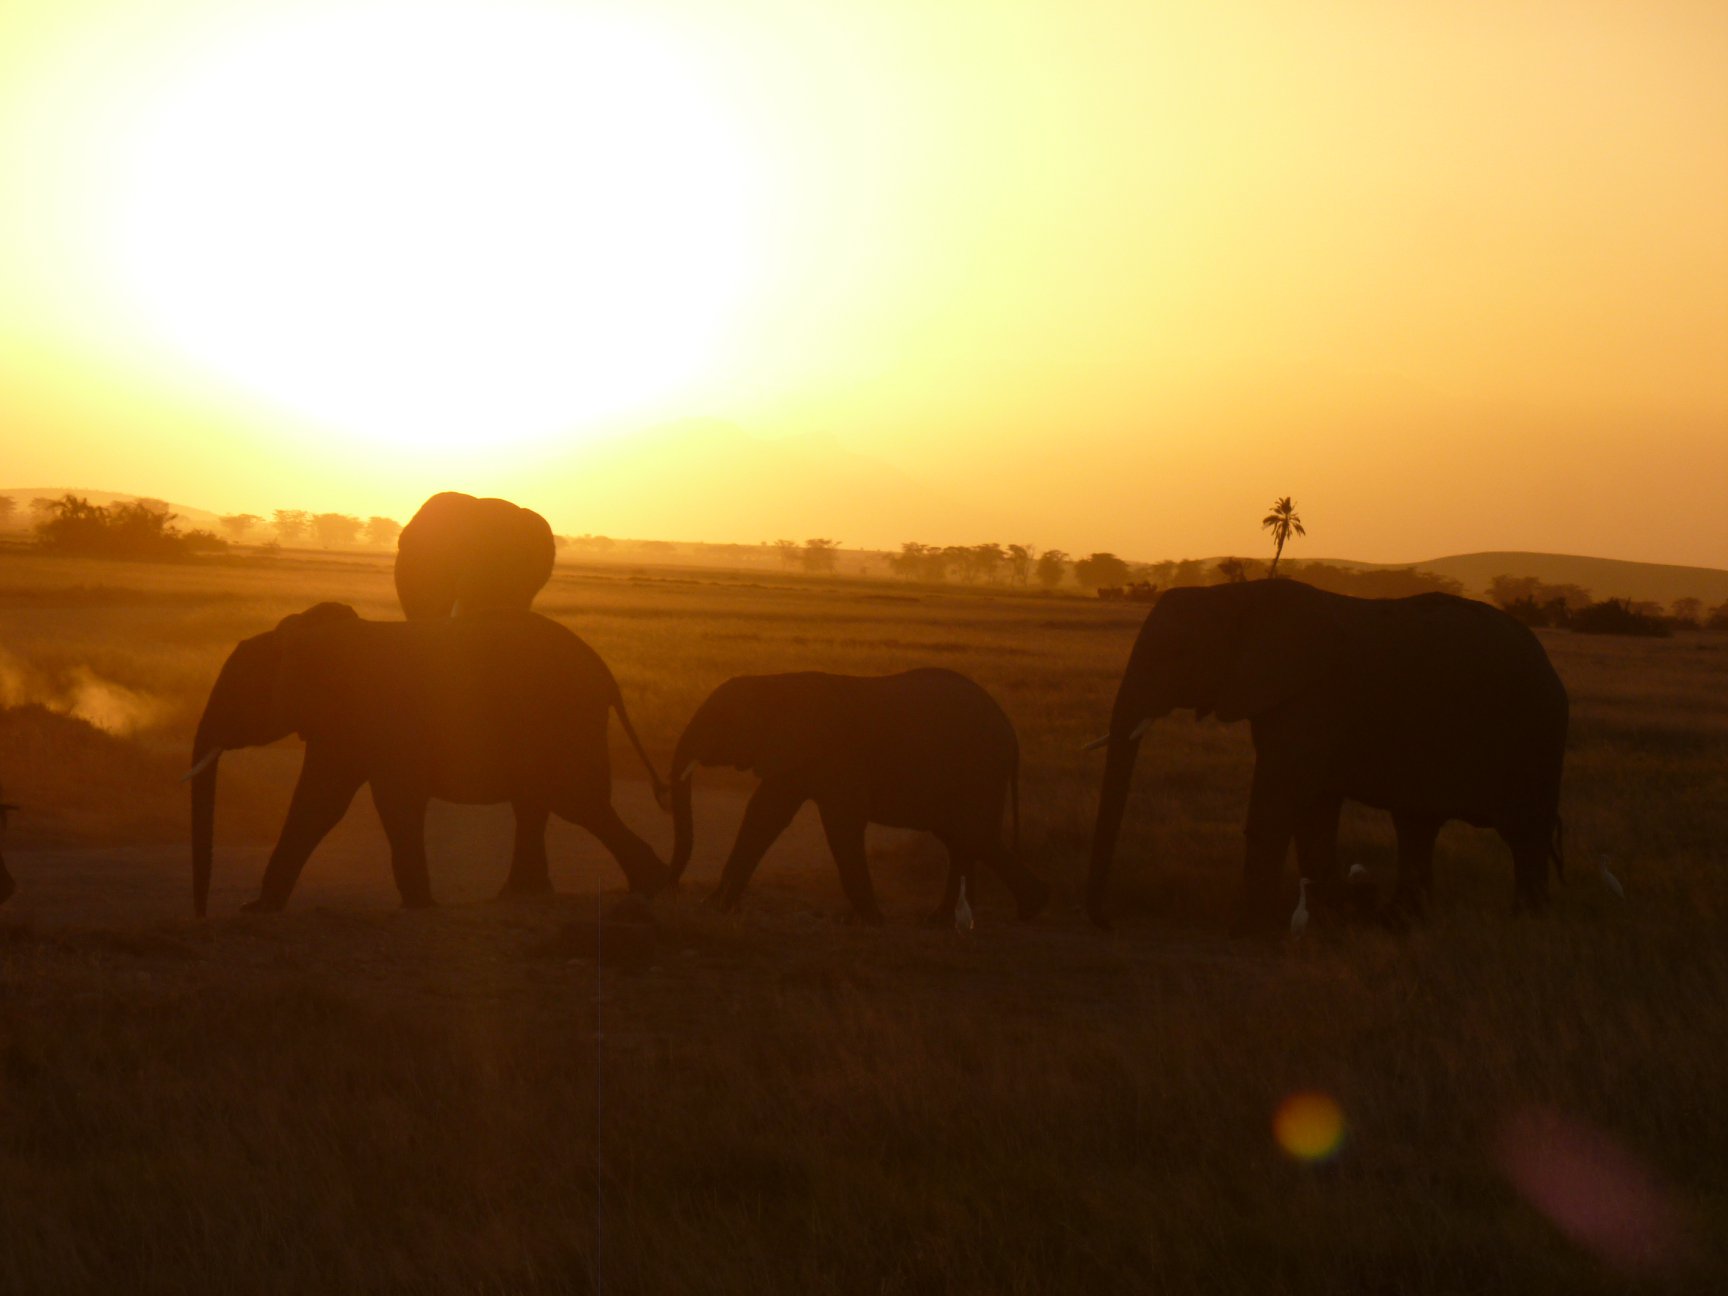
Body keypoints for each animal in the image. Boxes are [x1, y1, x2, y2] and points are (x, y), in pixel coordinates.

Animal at [189, 604, 667, 919]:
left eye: (236, 694)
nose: (201, 916)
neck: (310, 637)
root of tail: (606, 675)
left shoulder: (381, 716)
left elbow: (393, 800)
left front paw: (419, 906)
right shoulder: (339, 726)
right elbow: (318, 803)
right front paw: (257, 909)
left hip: (564, 721)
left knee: (576, 801)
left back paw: (652, 885)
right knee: (542, 803)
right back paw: (524, 896)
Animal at [663, 670, 1043, 926]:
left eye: (719, 722)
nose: (674, 890)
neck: (778, 683)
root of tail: (1011, 732)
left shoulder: (836, 756)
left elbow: (841, 824)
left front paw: (873, 920)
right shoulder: (795, 757)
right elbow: (764, 815)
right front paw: (714, 906)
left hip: (980, 770)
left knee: (973, 835)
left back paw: (1030, 910)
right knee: (960, 839)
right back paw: (945, 920)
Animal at [1092, 580, 1569, 933]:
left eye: (1176, 652)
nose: (1105, 921)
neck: (1237, 594)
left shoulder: (1310, 702)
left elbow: (1280, 805)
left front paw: (1251, 931)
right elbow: (1313, 811)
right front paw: (1331, 919)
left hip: (1534, 734)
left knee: (1523, 833)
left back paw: (1525, 925)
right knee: (1417, 824)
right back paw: (1399, 922)